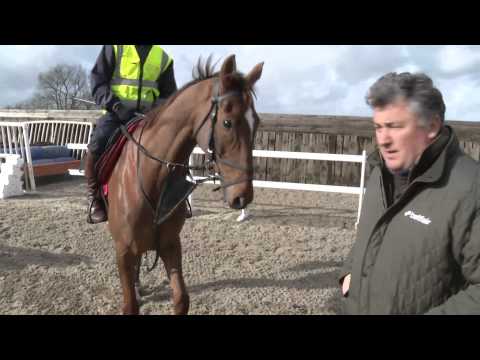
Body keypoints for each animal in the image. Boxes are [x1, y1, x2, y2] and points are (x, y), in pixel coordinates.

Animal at [105, 54, 264, 314]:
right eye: (227, 123)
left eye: (257, 122)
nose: (243, 196)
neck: (154, 179)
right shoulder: (123, 252)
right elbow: (130, 305)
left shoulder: (170, 245)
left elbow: (181, 299)